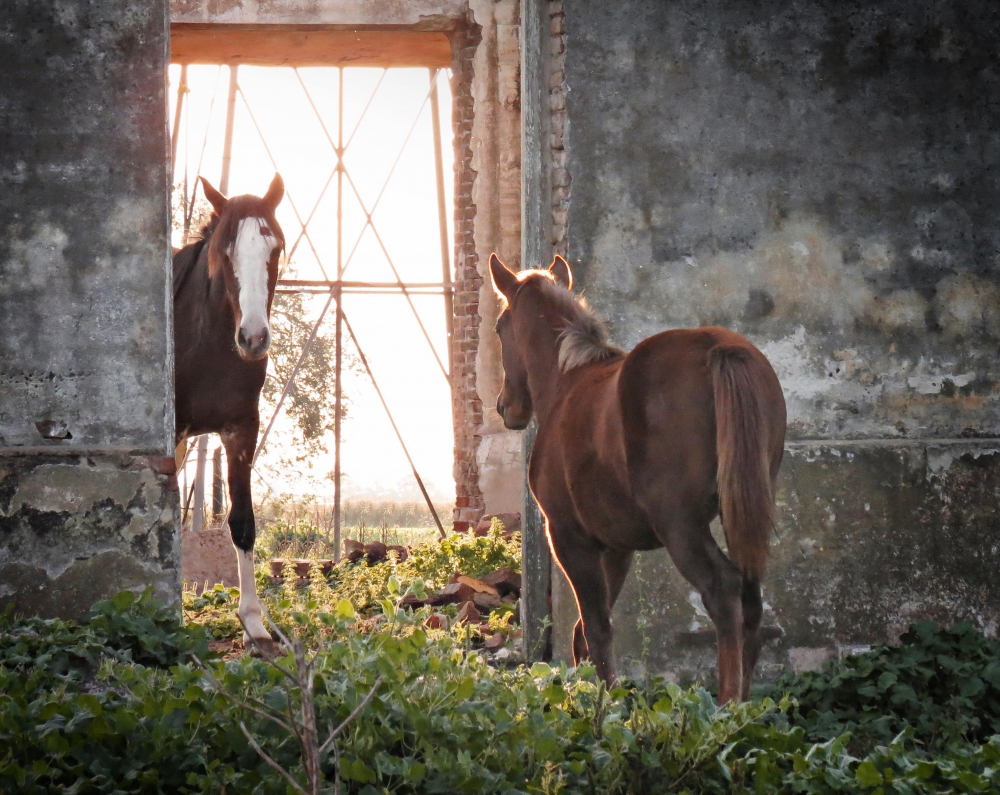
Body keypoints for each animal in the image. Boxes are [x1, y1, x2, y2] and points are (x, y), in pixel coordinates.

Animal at [492, 255, 788, 704]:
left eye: (498, 328)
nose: (504, 407)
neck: (567, 382)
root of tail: (718, 346)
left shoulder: (568, 537)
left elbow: (596, 627)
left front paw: (606, 702)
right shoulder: (617, 547)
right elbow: (586, 630)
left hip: (679, 525)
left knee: (722, 590)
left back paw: (725, 706)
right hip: (743, 511)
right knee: (751, 597)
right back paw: (747, 706)